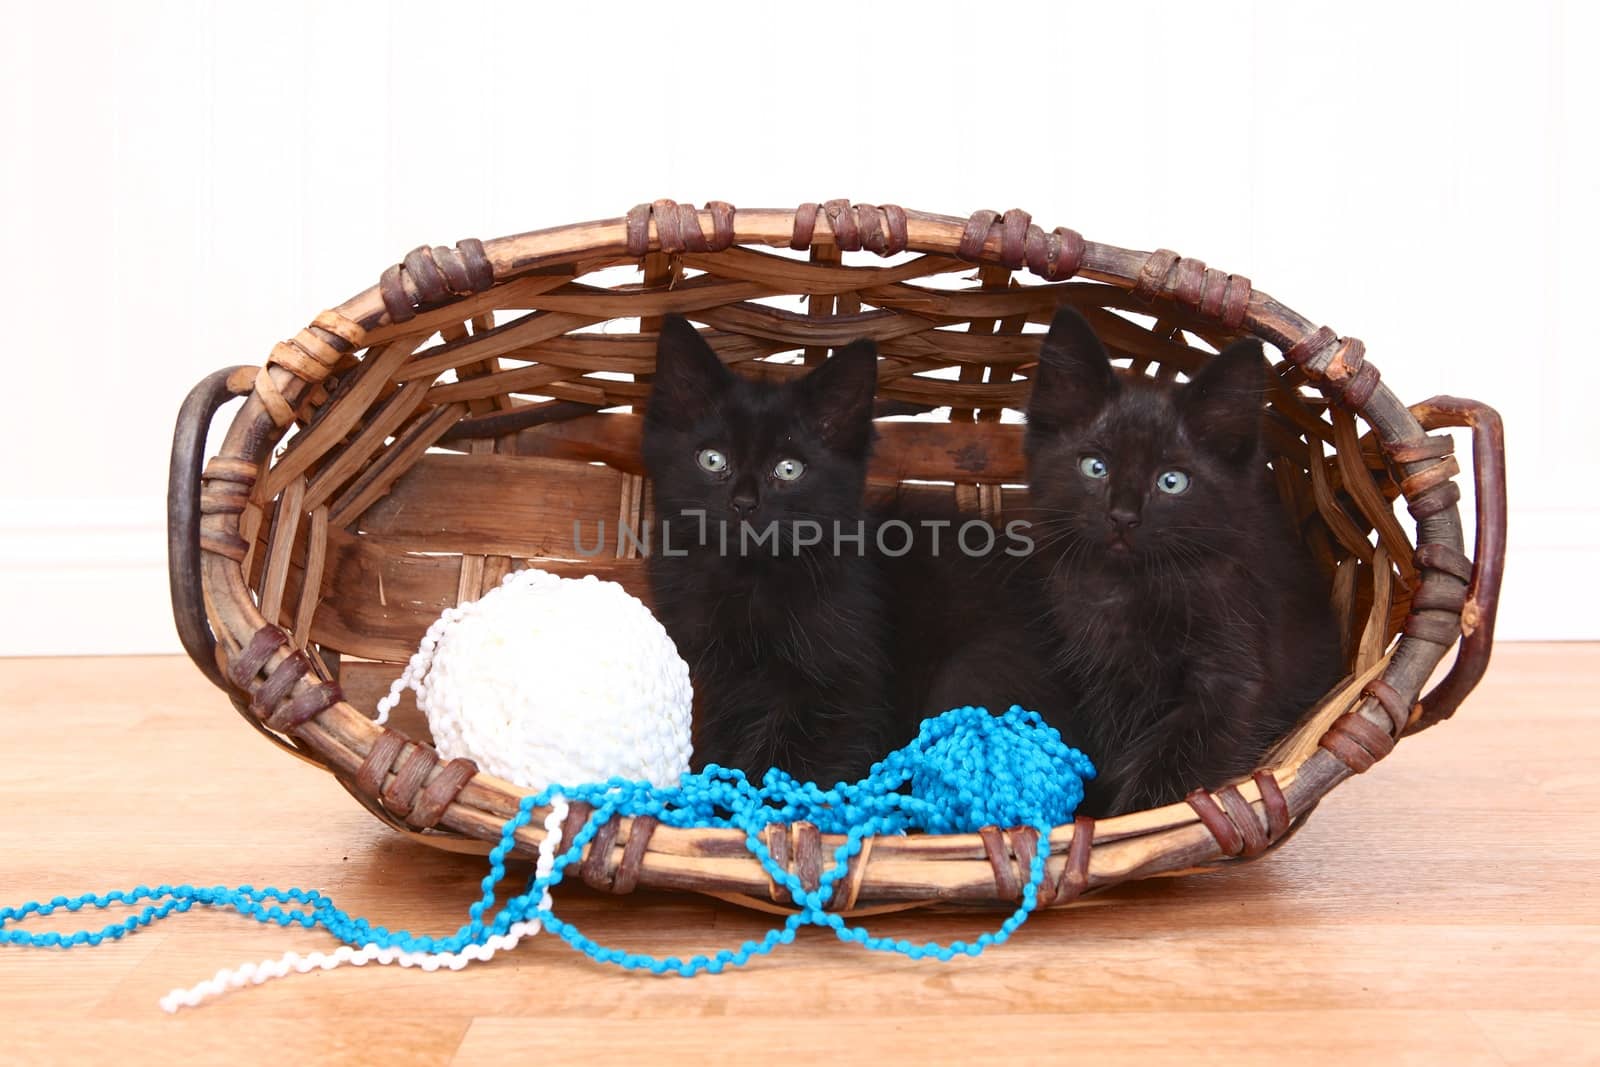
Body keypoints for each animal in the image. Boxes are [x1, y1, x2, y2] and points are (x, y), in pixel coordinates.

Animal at [646, 315, 902, 783]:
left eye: (788, 469)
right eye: (712, 459)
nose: (745, 503)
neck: (748, 579)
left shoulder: (842, 690)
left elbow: (784, 759)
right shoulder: (722, 682)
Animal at [1024, 308, 1337, 819]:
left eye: (1172, 481)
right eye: (1095, 467)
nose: (1123, 517)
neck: (1134, 590)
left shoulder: (1231, 675)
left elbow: (1177, 759)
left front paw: (1136, 815)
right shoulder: (1100, 673)